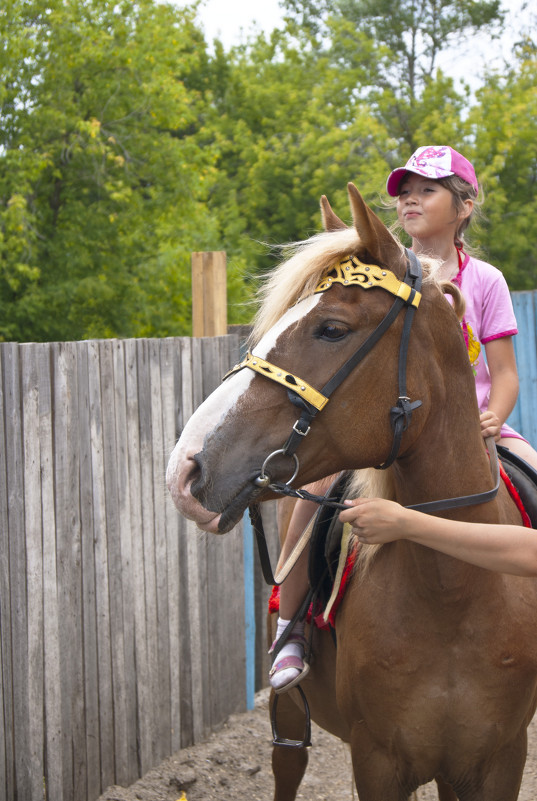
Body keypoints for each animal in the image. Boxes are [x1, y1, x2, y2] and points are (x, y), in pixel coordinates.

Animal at [165, 184, 536, 796]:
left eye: (332, 328)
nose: (185, 470)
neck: (454, 590)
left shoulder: (498, 762)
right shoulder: (378, 761)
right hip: (290, 716)